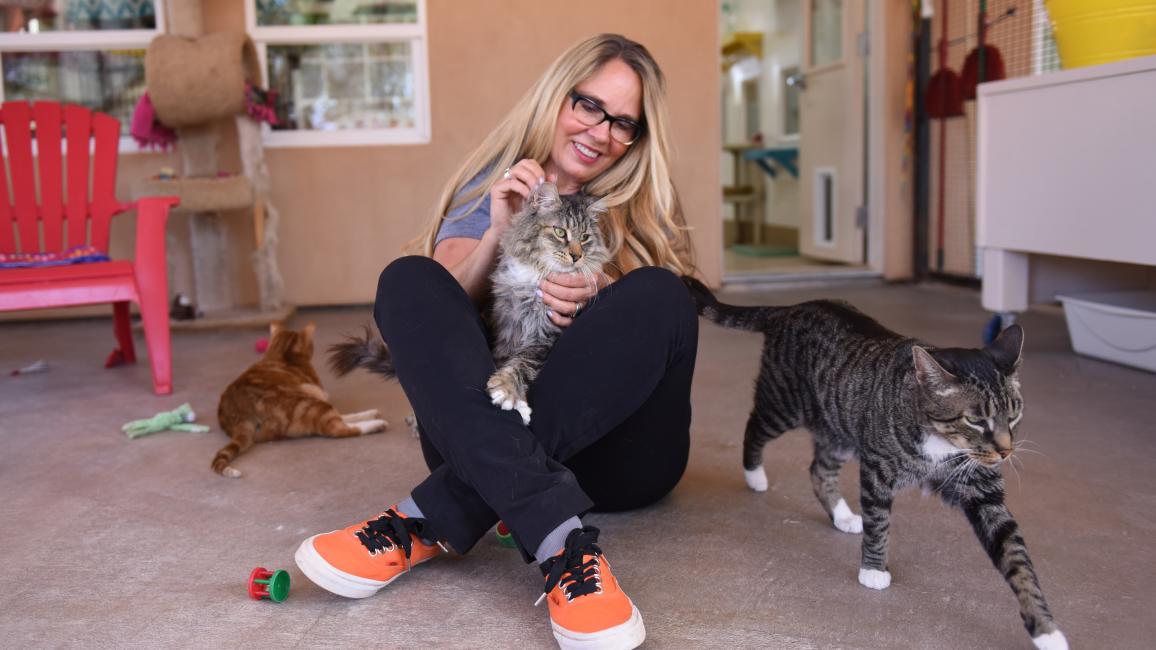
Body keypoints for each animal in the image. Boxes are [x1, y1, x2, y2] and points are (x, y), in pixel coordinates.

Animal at [218, 319, 390, 476]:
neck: (280, 354)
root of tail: (242, 415)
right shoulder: (318, 391)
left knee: (340, 419)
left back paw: (371, 414)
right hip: (309, 404)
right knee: (337, 428)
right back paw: (377, 424)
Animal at [330, 182, 610, 425]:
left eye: (585, 237)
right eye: (560, 232)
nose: (576, 256)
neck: (536, 279)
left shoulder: (544, 335)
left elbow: (522, 364)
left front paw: (508, 392)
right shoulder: (507, 326)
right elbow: (505, 359)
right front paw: (514, 402)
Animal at [679, 277, 1068, 647]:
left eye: (1014, 414)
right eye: (975, 420)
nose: (1006, 450)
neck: (940, 443)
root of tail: (795, 306)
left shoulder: (982, 491)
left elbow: (1017, 560)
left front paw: (1046, 630)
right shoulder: (878, 471)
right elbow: (879, 522)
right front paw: (874, 570)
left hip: (839, 431)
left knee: (819, 470)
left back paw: (843, 516)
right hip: (783, 404)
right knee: (754, 426)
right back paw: (755, 475)